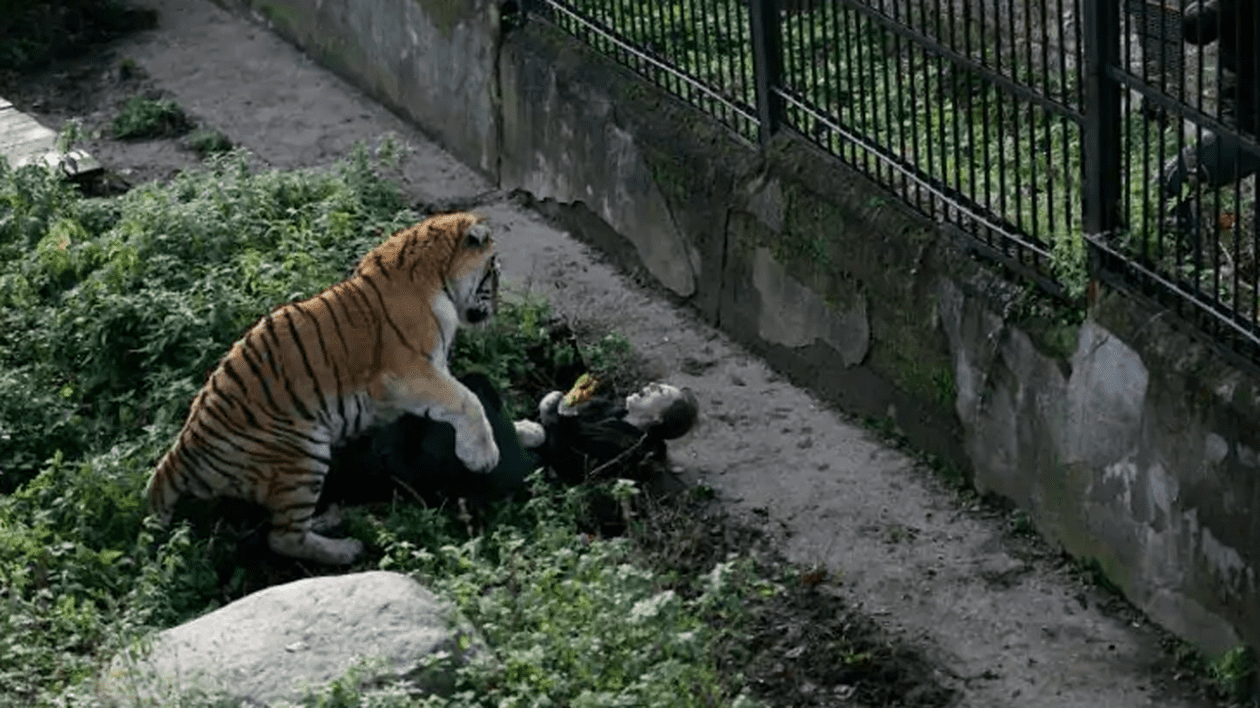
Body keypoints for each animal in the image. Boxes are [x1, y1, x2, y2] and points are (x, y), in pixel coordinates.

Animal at [146, 211, 501, 564]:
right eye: (494, 272)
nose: (497, 309)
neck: (439, 277)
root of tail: (180, 453)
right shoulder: (406, 374)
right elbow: (467, 400)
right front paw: (483, 457)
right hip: (303, 454)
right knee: (283, 538)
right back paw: (346, 549)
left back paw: (331, 519)